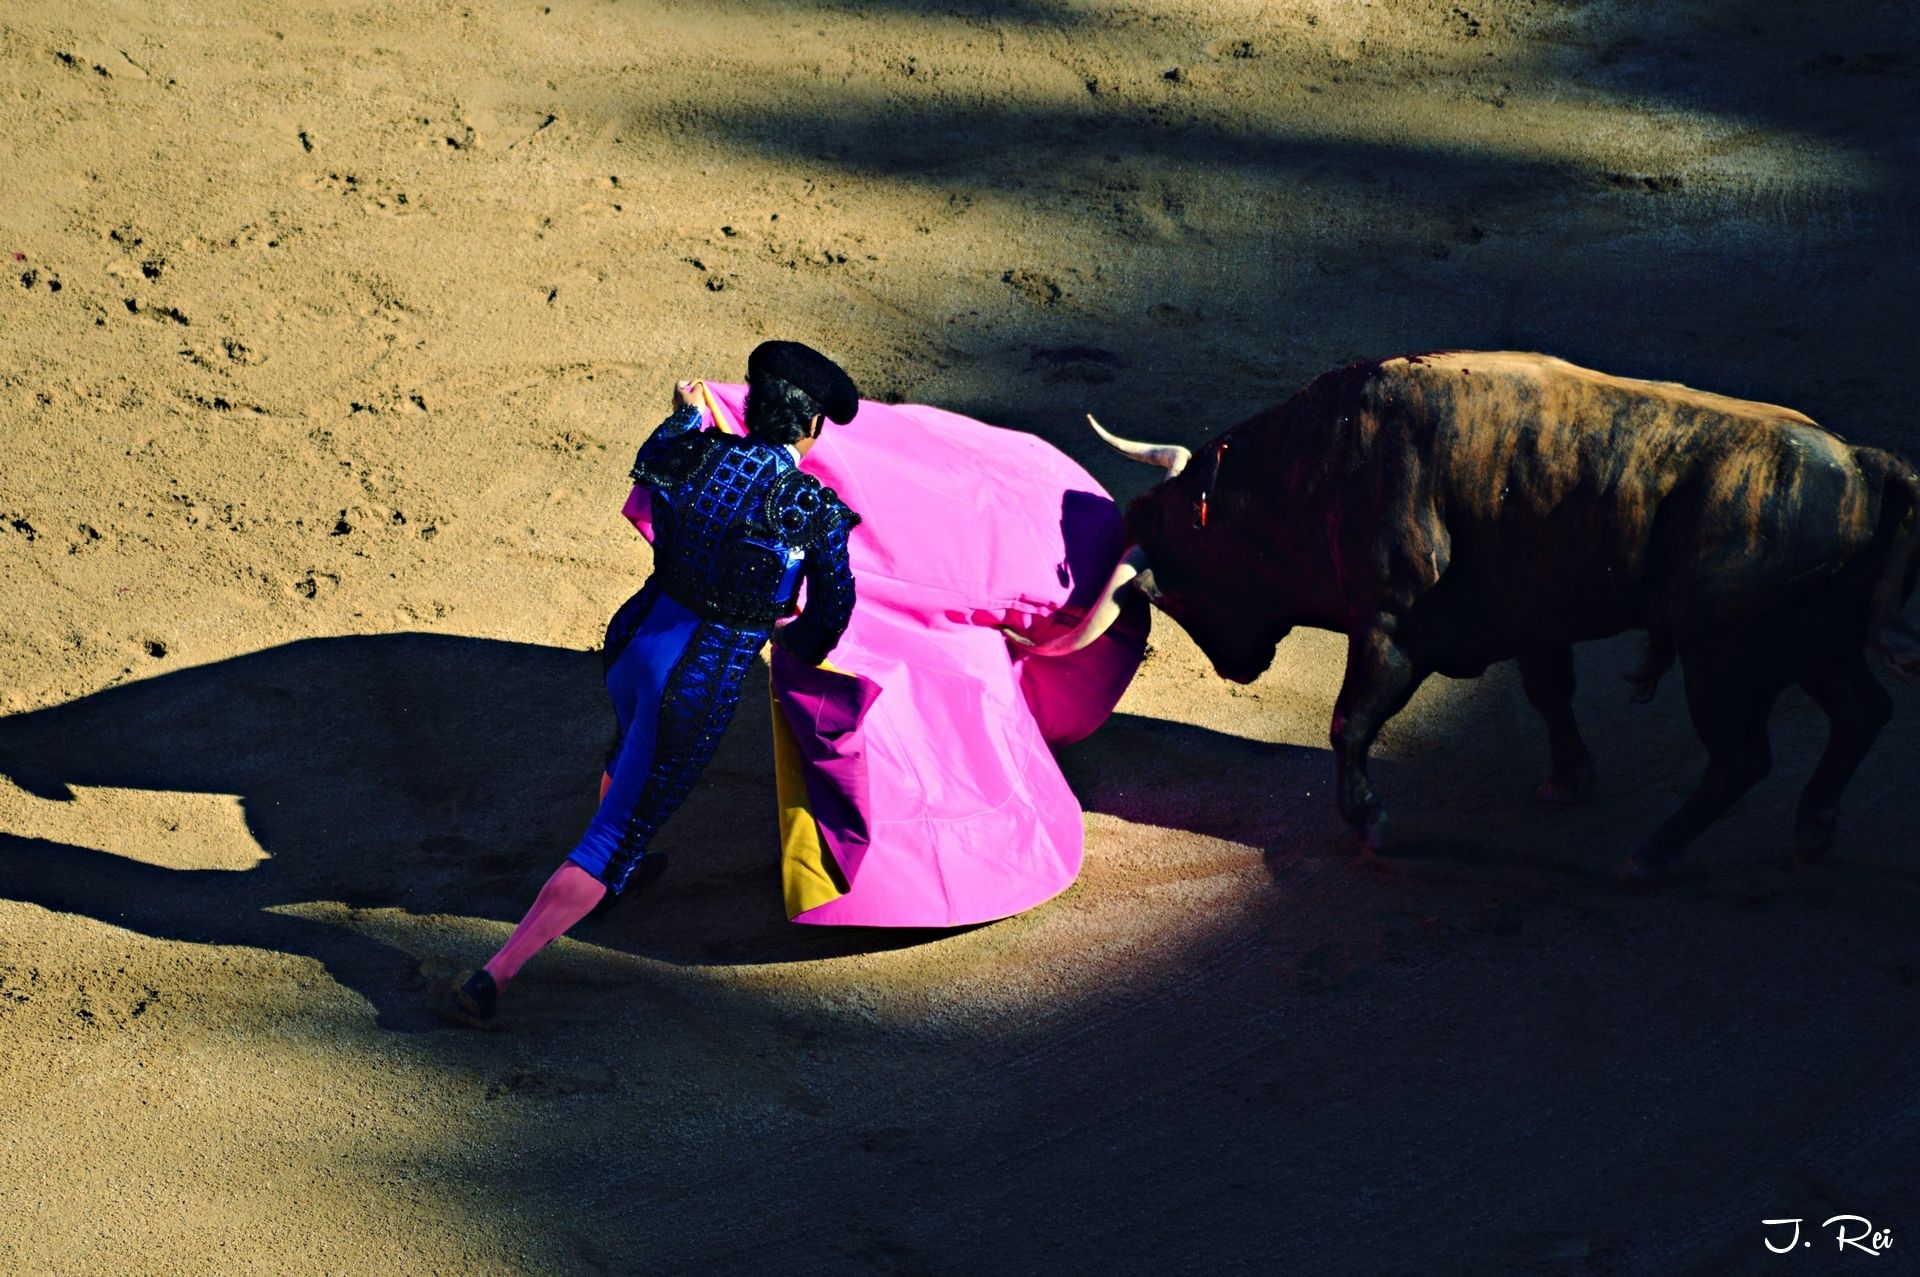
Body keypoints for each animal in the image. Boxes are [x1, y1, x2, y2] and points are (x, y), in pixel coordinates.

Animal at [1013, 351, 1912, 875]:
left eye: (1176, 587)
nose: (1240, 667)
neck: (1321, 465)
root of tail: (1865, 464)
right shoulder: (1534, 622)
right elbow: (1550, 693)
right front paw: (1567, 779)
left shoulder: (1390, 628)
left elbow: (1349, 721)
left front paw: (1371, 822)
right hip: (1812, 642)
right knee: (1863, 712)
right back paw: (1812, 825)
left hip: (1725, 657)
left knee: (1743, 757)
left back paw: (1654, 853)